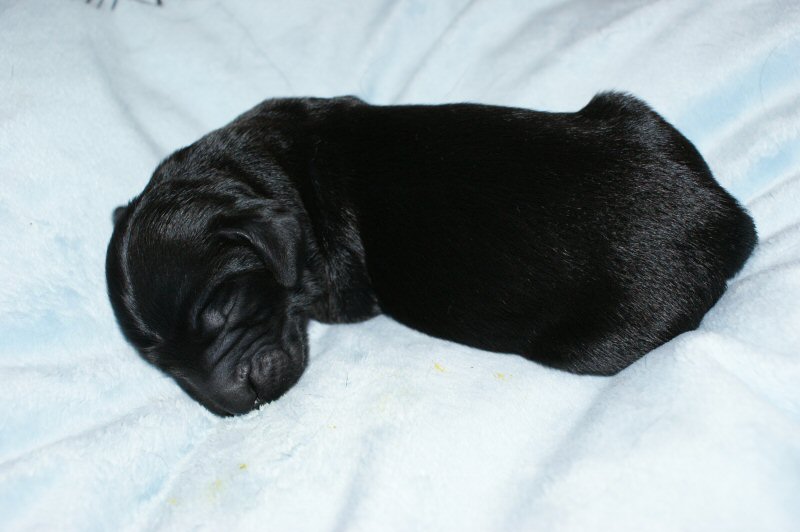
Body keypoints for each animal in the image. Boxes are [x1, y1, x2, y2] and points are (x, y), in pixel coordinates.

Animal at [106, 92, 756, 416]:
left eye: (228, 312)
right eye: (161, 363)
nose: (232, 406)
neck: (259, 168)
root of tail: (723, 219)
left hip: (599, 341)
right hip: (632, 111)